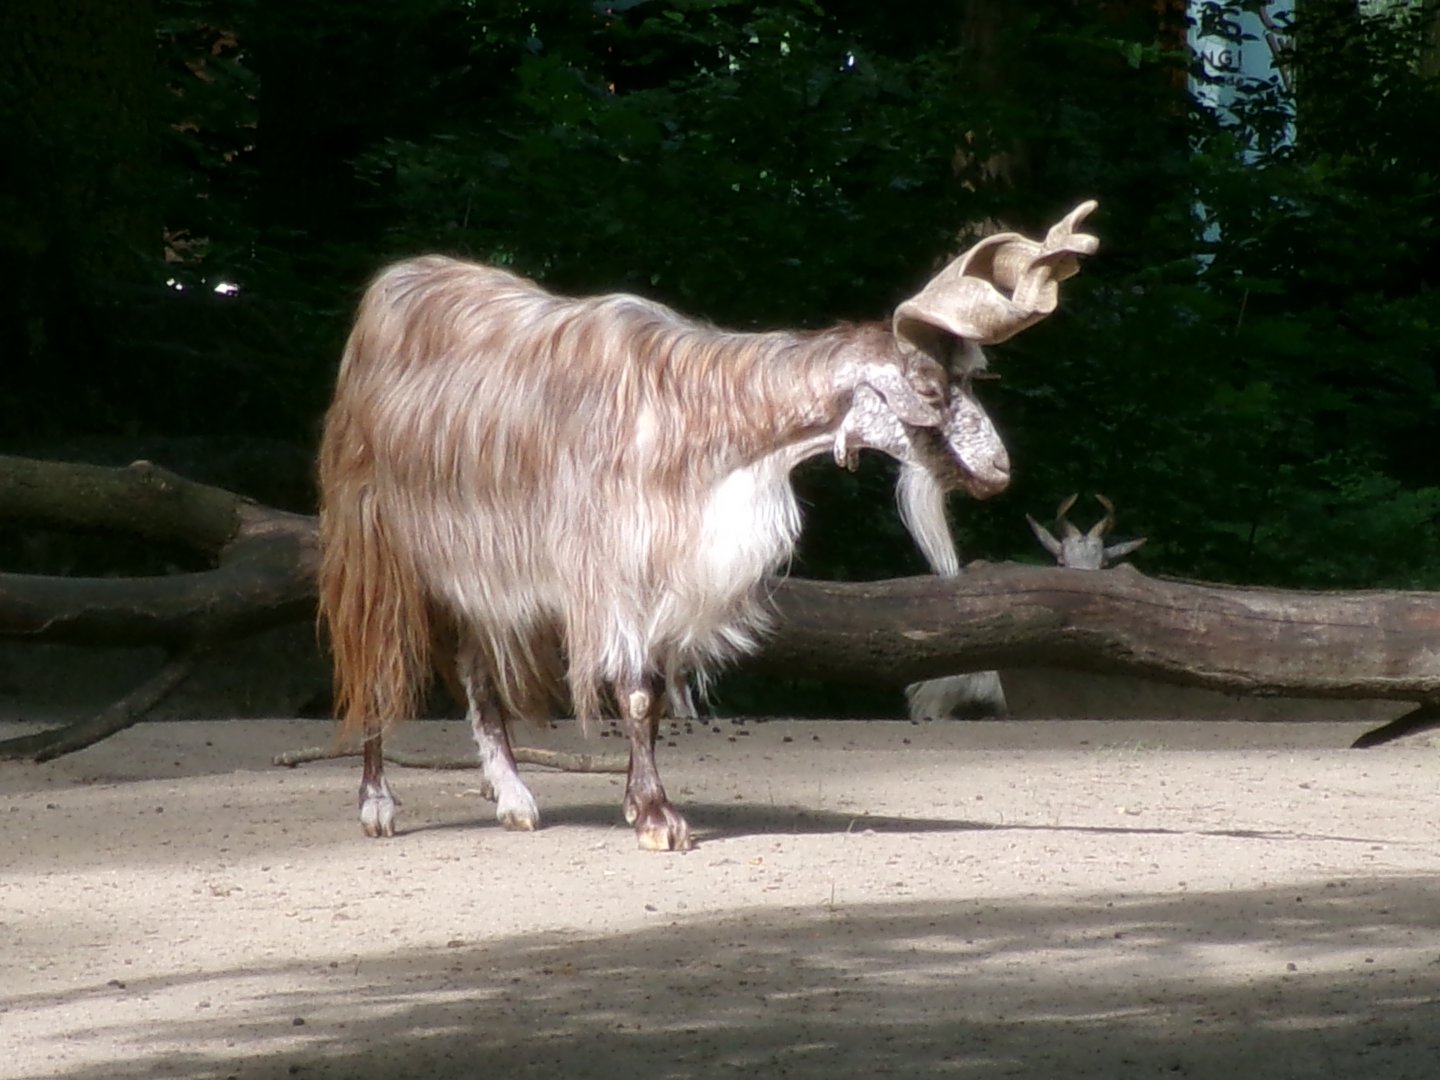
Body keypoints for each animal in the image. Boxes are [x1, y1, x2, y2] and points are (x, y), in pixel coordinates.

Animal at [316, 201, 1098, 850]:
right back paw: (377, 804)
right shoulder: (614, 565)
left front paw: (638, 803)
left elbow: (656, 697)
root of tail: (388, 290)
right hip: (373, 538)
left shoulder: (673, 571)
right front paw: (660, 820)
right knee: (373, 660)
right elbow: (635, 690)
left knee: (475, 665)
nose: (998, 470)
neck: (707, 423)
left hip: (476, 567)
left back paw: (511, 796)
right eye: (932, 389)